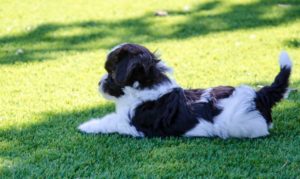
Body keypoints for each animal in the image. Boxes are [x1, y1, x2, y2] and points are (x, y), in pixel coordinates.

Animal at [78, 43, 292, 138]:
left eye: (111, 72)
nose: (99, 83)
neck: (143, 88)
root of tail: (259, 95)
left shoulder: (133, 124)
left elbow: (109, 121)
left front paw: (87, 126)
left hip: (246, 126)